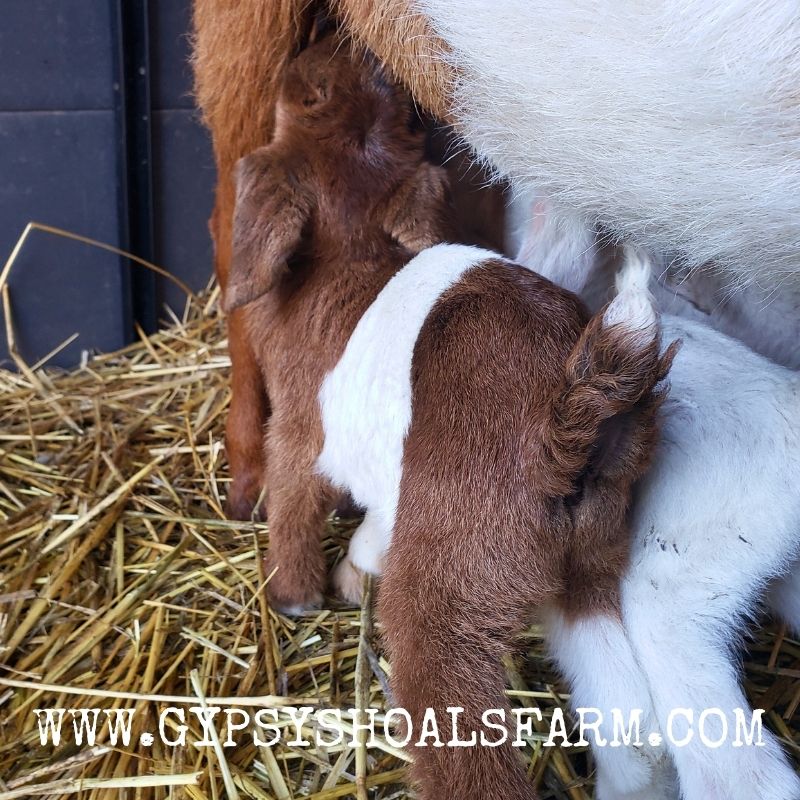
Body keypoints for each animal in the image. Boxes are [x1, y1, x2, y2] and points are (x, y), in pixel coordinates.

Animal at [225, 37, 676, 800]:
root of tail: (569, 419)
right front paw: (351, 573)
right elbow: (372, 528)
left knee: (467, 747)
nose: (325, 41)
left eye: (309, 96)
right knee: (632, 731)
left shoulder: (298, 434)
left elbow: (293, 505)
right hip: (590, 562)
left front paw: (294, 596)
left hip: (449, 598)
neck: (349, 250)